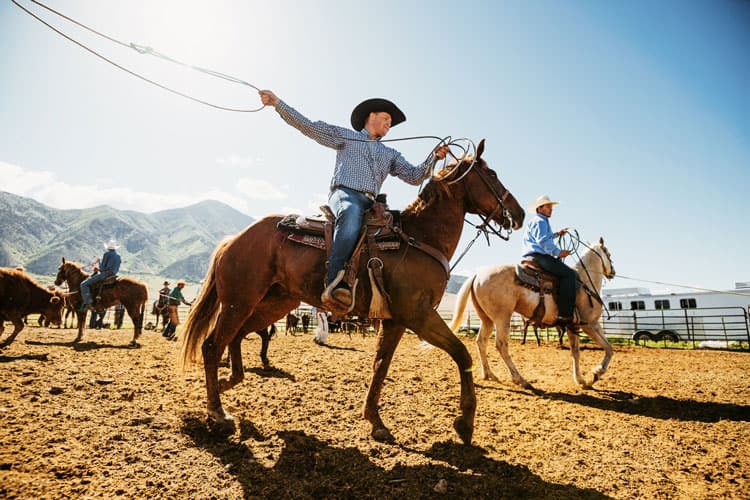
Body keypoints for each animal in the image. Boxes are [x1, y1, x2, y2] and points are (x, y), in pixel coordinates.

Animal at [179, 139, 524, 444]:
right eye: (493, 174)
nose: (518, 214)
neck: (419, 237)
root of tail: (234, 240)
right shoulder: (419, 315)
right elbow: (460, 353)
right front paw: (465, 422)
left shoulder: (395, 321)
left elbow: (380, 366)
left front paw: (376, 421)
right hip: (239, 302)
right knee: (212, 345)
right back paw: (218, 414)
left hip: (272, 304)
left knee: (236, 338)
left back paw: (228, 383)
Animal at [452, 238, 616, 390]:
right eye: (608, 254)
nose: (613, 271)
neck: (585, 284)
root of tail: (477, 274)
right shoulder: (589, 325)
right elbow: (608, 348)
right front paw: (596, 373)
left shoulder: (575, 326)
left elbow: (578, 352)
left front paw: (581, 380)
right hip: (502, 317)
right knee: (501, 345)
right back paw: (521, 380)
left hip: (487, 319)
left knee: (481, 342)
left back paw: (489, 375)